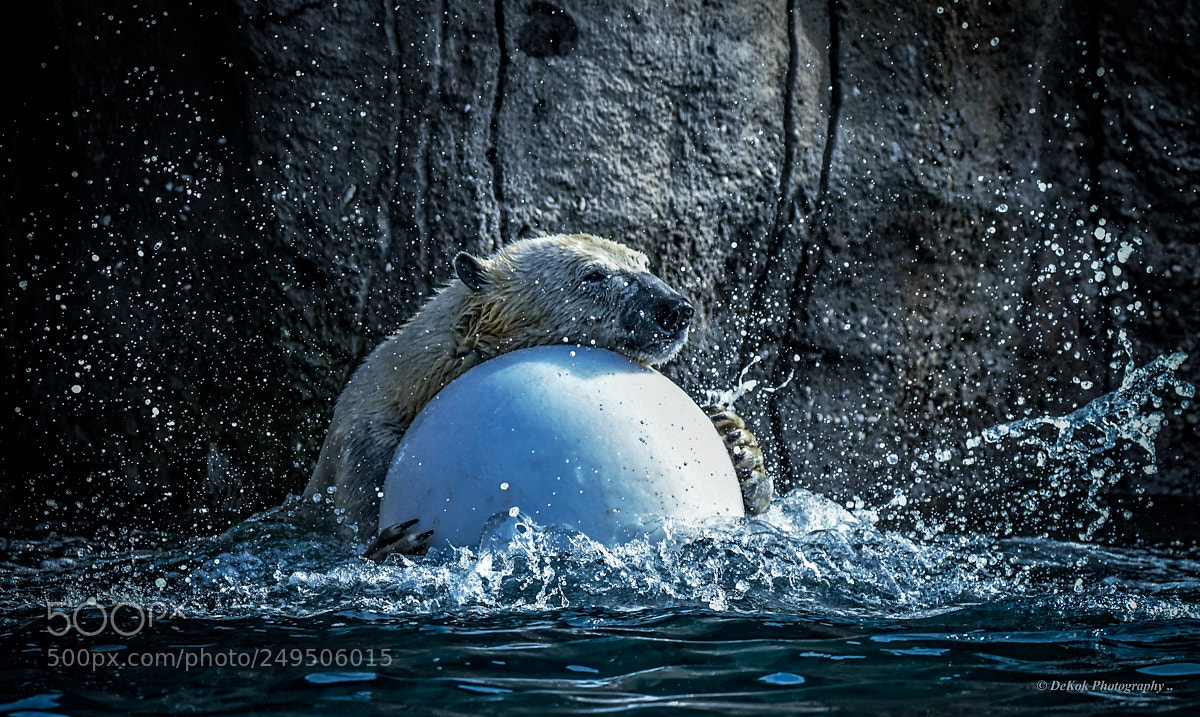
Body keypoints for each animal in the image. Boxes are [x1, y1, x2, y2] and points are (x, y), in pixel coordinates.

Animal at [304, 233, 772, 558]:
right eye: (594, 275)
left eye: (644, 263)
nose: (676, 308)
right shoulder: (364, 453)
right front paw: (395, 543)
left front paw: (737, 444)